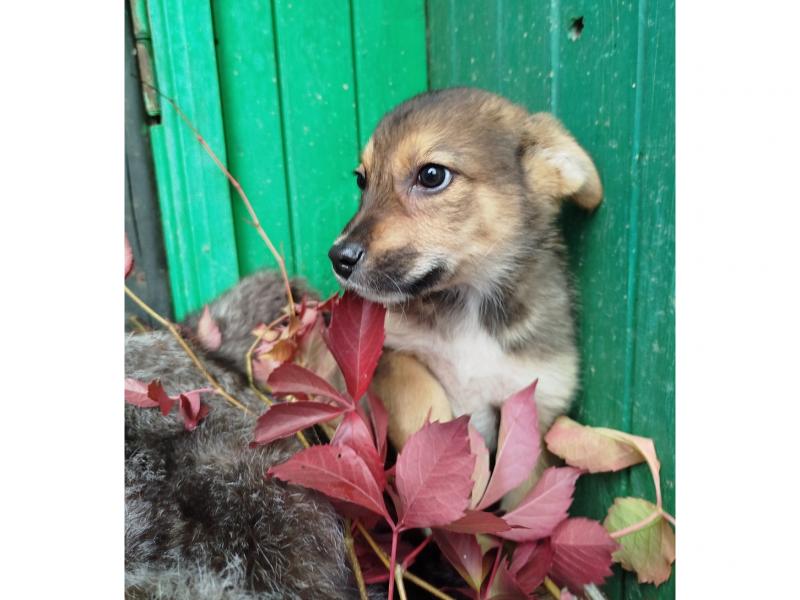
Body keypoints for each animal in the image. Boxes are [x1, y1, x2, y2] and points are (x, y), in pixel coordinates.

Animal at [326, 86, 600, 504]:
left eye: (432, 175)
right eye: (362, 180)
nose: (338, 257)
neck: (468, 302)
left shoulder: (535, 410)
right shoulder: (387, 352)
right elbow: (418, 395)